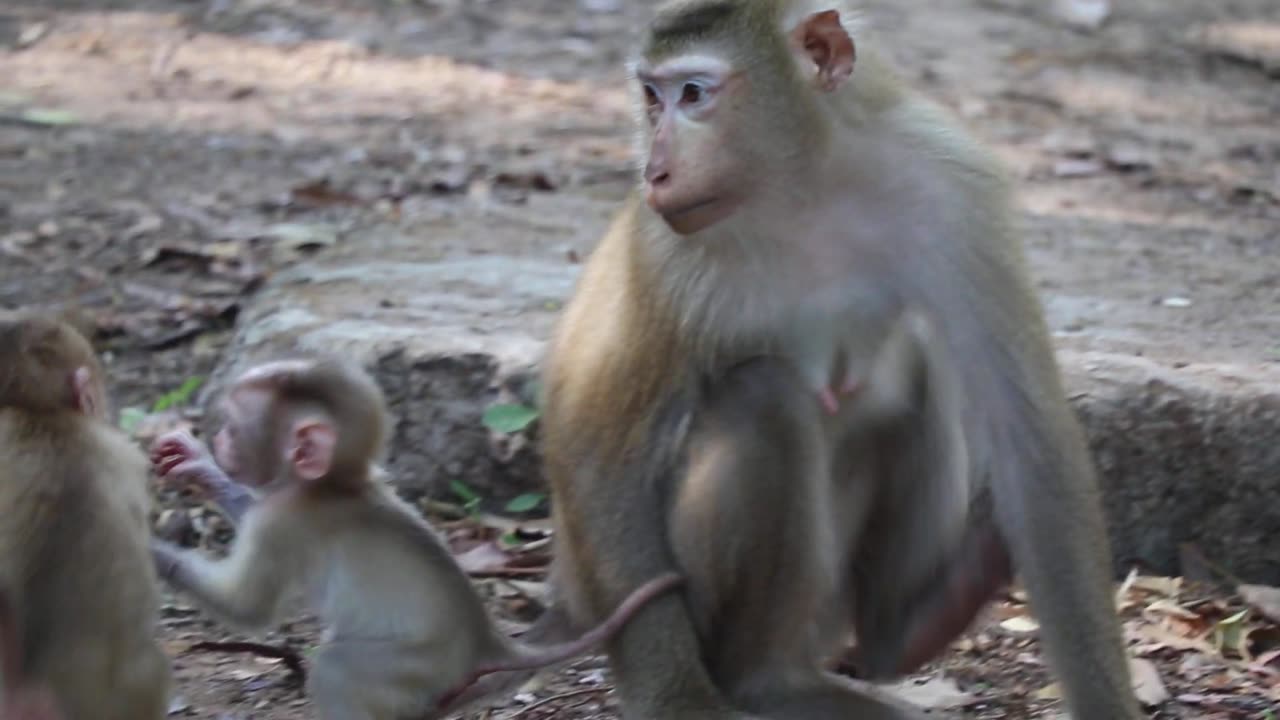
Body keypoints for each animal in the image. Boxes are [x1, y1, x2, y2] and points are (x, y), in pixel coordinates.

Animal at [148, 358, 686, 717]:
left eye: (234, 427)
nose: (219, 440)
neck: (332, 484)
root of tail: (488, 642)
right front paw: (200, 468)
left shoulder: (282, 522)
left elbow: (248, 609)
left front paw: (151, 553)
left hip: (417, 667)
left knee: (339, 666)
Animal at [537, 1, 1141, 717]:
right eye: (652, 98)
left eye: (692, 94)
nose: (654, 170)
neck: (802, 187)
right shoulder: (659, 252)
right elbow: (603, 449)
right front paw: (677, 700)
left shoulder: (952, 186)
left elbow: (1032, 440)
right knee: (764, 400)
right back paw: (764, 682)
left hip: (829, 607)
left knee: (921, 373)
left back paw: (906, 628)